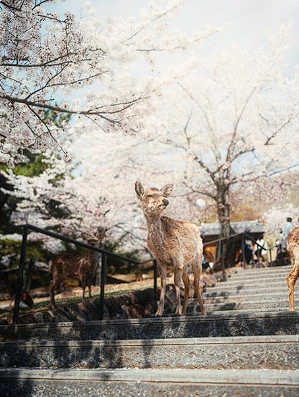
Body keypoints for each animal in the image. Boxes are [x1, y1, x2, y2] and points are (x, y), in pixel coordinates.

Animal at [135, 182, 206, 316]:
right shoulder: (160, 260)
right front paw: (158, 312)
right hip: (185, 265)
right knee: (188, 283)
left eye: (163, 194)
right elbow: (163, 283)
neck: (161, 246)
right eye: (149, 195)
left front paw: (177, 311)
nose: (165, 200)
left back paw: (203, 312)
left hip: (198, 257)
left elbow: (176, 283)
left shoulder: (177, 257)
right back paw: (184, 312)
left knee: (196, 282)